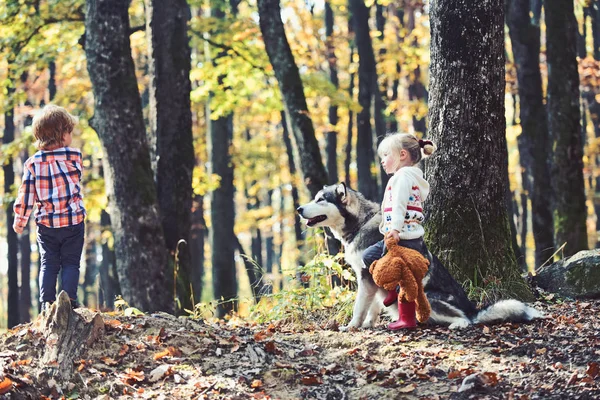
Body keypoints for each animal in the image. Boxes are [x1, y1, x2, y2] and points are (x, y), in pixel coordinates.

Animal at [296, 183, 544, 330]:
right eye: (314, 198)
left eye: (321, 199)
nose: (298, 209)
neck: (360, 223)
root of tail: (472, 308)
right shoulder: (371, 279)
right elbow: (373, 306)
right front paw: (368, 324)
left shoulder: (366, 275)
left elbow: (359, 306)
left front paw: (352, 326)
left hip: (427, 298)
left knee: (466, 319)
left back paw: (458, 324)